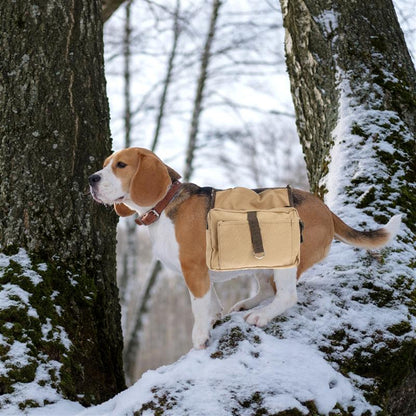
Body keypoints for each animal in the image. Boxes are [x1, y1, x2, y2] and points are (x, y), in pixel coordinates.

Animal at [89, 148, 402, 350]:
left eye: (121, 165)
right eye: (105, 164)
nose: (92, 179)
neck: (164, 204)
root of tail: (324, 208)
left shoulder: (194, 270)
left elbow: (198, 307)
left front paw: (200, 337)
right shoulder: (203, 275)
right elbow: (211, 303)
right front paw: (214, 320)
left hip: (284, 259)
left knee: (286, 295)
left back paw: (260, 315)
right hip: (260, 262)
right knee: (267, 290)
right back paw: (247, 304)